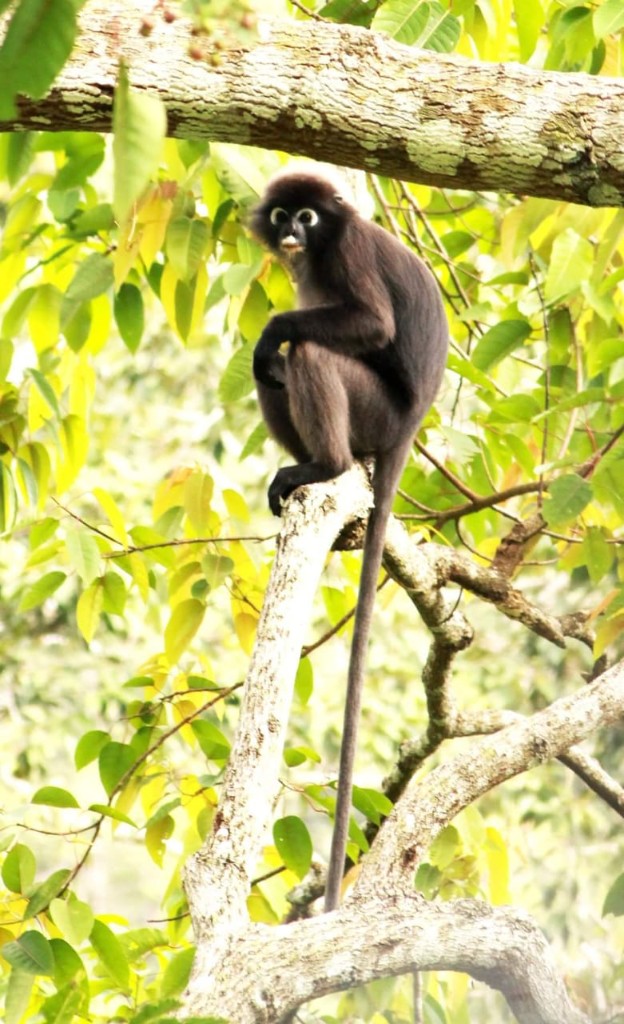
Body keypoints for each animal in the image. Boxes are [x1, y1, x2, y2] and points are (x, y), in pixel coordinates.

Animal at [250, 168, 448, 912]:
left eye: (309, 216)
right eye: (283, 214)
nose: (292, 232)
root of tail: (407, 428)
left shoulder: (347, 252)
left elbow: (370, 325)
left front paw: (273, 325)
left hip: (375, 409)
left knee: (301, 350)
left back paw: (325, 464)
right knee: (276, 369)